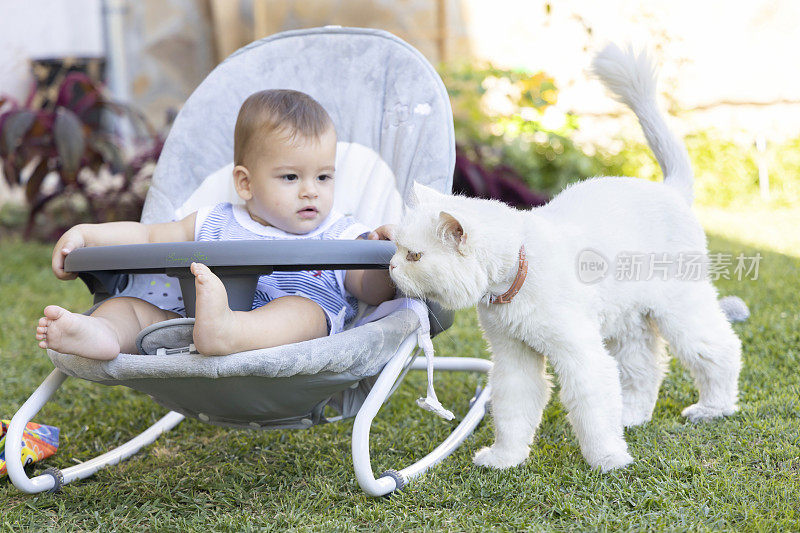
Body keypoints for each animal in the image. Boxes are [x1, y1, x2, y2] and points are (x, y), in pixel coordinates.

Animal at [390, 44, 740, 470]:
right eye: (396, 249)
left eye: (414, 256)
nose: (390, 267)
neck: (518, 274)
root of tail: (670, 189)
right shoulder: (514, 360)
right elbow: (513, 414)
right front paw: (505, 459)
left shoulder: (581, 356)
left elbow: (593, 412)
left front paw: (608, 459)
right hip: (628, 325)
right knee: (646, 368)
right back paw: (633, 417)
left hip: (680, 312)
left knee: (720, 350)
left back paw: (713, 408)